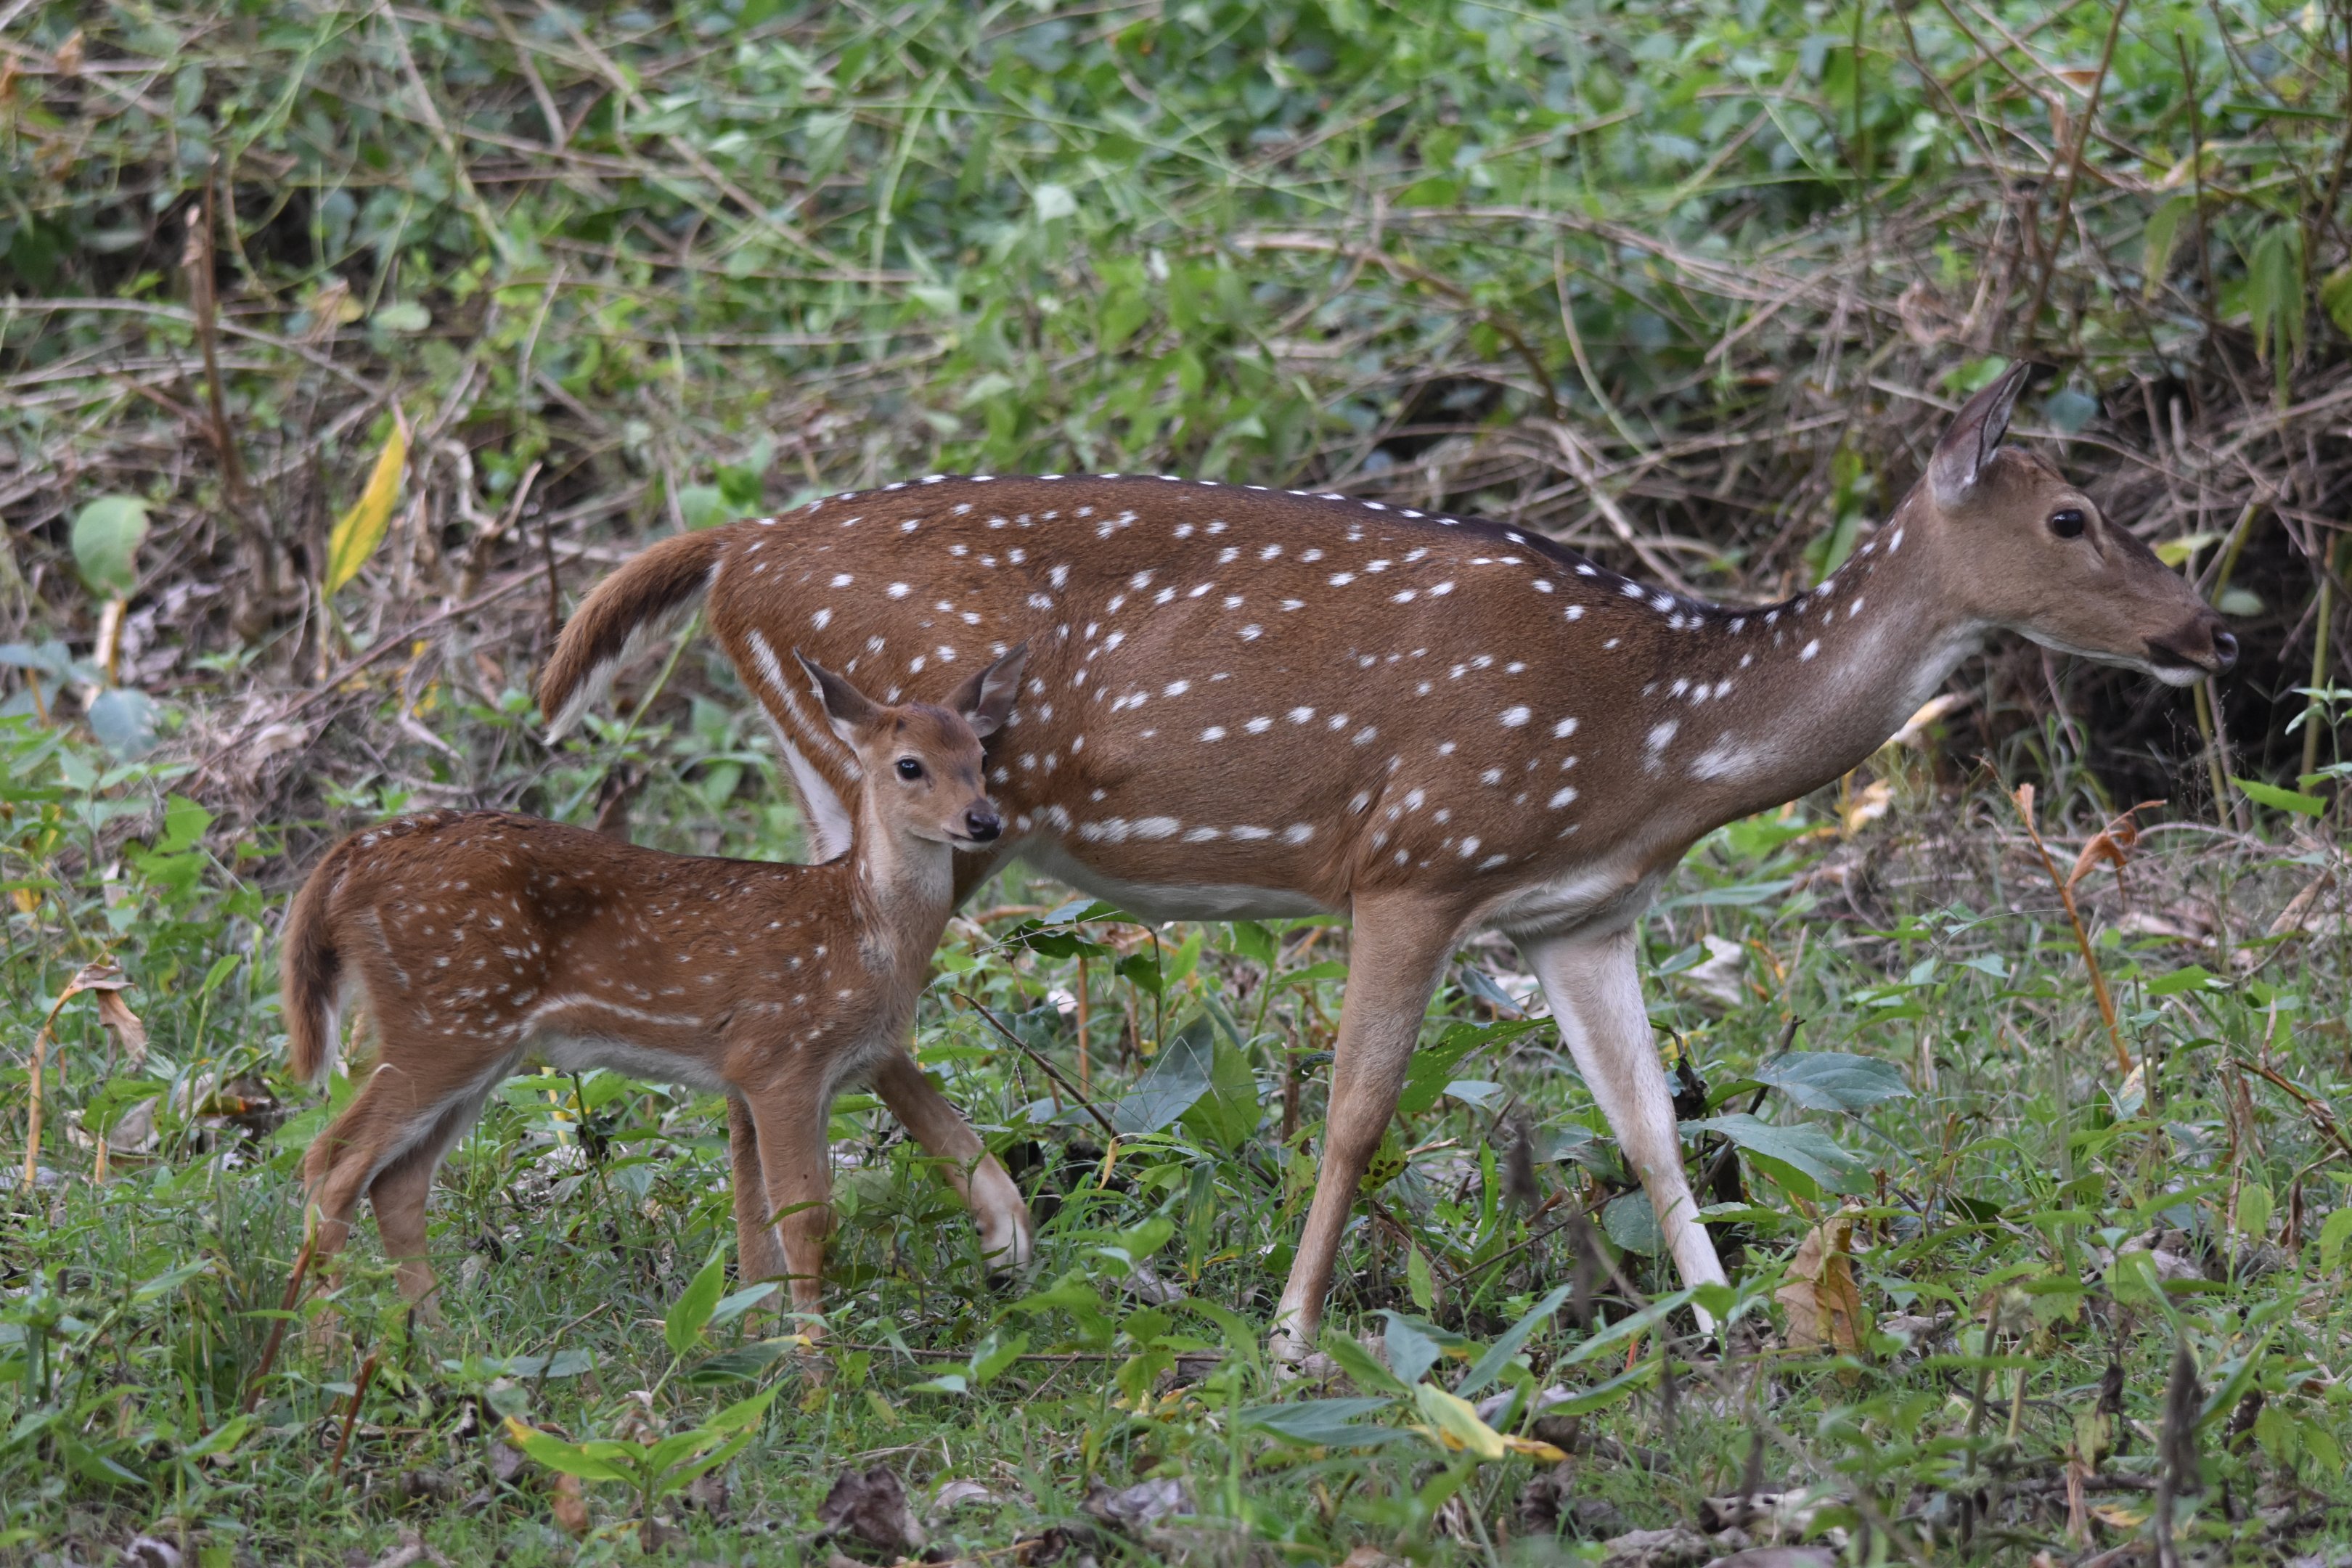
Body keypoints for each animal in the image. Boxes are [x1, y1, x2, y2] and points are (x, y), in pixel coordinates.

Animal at [279, 645, 1032, 1322]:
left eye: (980, 760)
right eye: (910, 766)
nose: (984, 820)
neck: (861, 933)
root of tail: (344, 864)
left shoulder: (796, 1075)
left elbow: (766, 1229)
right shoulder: (779, 1060)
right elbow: (803, 1220)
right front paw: (816, 1369)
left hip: (477, 1044)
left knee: (396, 1183)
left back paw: (432, 1353)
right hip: (441, 1022)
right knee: (330, 1163)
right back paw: (320, 1354)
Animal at [536, 362, 2236, 1361]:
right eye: (2075, 515)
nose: (2210, 633)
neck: (1658, 745)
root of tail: (730, 556)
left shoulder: (1579, 914)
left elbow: (1651, 1126)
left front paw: (1731, 1318)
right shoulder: (1416, 857)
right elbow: (1358, 1117)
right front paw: (1292, 1338)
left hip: (847, 787)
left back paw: (760, 1295)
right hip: (913, 783)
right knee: (857, 981)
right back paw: (1002, 1238)